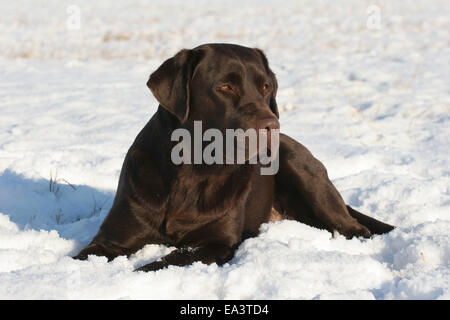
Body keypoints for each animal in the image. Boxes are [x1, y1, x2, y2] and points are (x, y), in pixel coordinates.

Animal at [74, 43, 394, 272]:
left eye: (266, 87)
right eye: (225, 87)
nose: (272, 126)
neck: (192, 172)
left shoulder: (216, 243)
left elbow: (157, 264)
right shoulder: (109, 240)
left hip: (301, 168)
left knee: (355, 227)